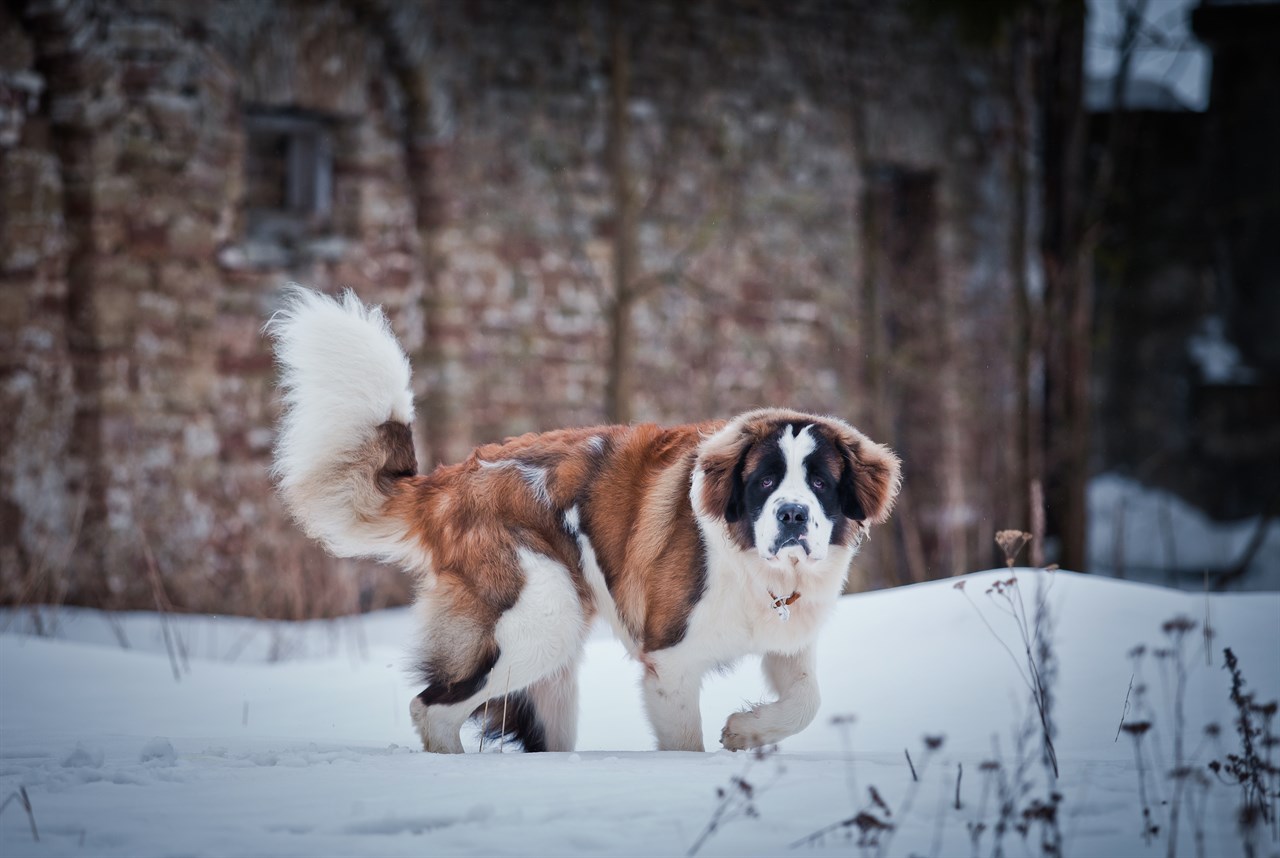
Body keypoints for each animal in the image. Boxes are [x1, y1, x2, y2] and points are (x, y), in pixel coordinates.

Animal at [266, 286, 901, 752]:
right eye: (765, 481)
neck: (761, 572)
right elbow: (686, 742)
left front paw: (748, 732)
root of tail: (453, 479)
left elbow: (806, 701)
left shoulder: (788, 642)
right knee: (433, 708)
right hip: (541, 614)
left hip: (553, 673)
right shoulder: (669, 662)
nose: (792, 514)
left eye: (820, 483)